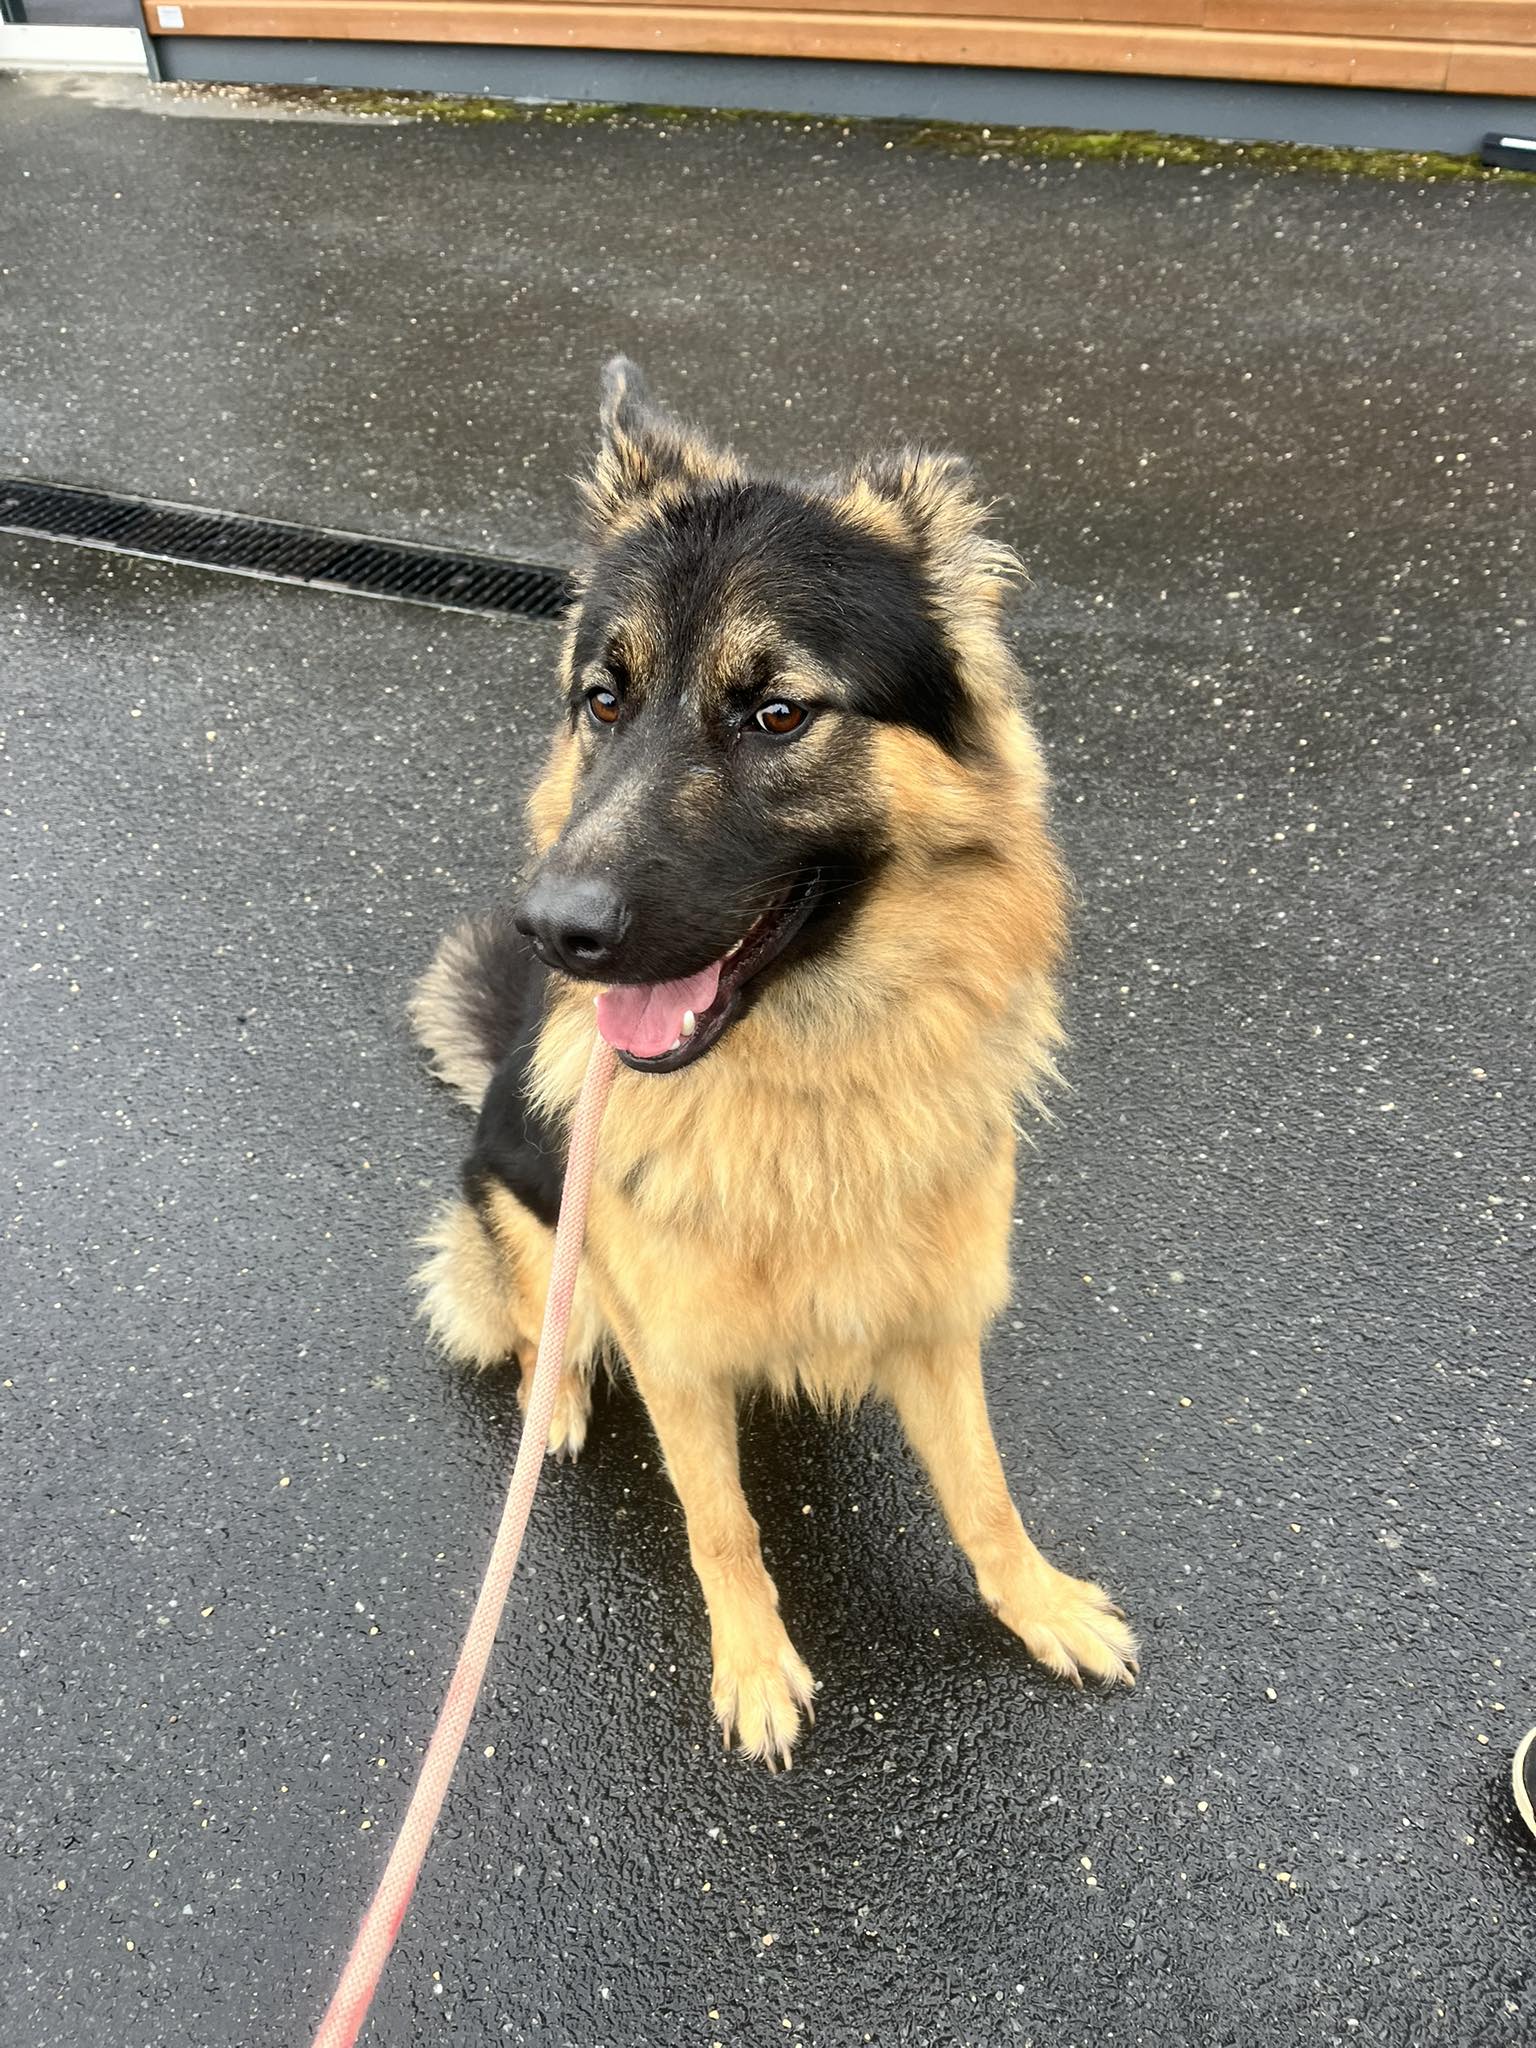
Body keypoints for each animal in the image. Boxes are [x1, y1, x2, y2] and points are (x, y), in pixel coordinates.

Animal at [409, 358, 1137, 1766]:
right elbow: (723, 1523)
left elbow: (985, 1490)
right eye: (605, 699)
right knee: (531, 1312)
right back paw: (554, 1389)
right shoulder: (680, 1357)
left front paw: (1036, 1602)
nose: (554, 931)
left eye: (777, 712)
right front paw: (752, 1665)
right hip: (521, 1201)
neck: (808, 1086)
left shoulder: (938, 1321)